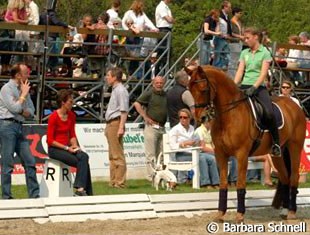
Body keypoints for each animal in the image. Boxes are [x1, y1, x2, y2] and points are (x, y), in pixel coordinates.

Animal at [185, 65, 306, 222]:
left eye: (204, 89)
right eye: (190, 89)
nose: (201, 117)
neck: (229, 115)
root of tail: (295, 105)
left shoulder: (241, 154)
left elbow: (240, 184)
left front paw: (240, 215)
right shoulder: (220, 154)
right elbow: (223, 184)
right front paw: (220, 215)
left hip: (295, 147)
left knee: (293, 177)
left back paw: (291, 212)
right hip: (277, 154)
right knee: (285, 177)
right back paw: (285, 211)